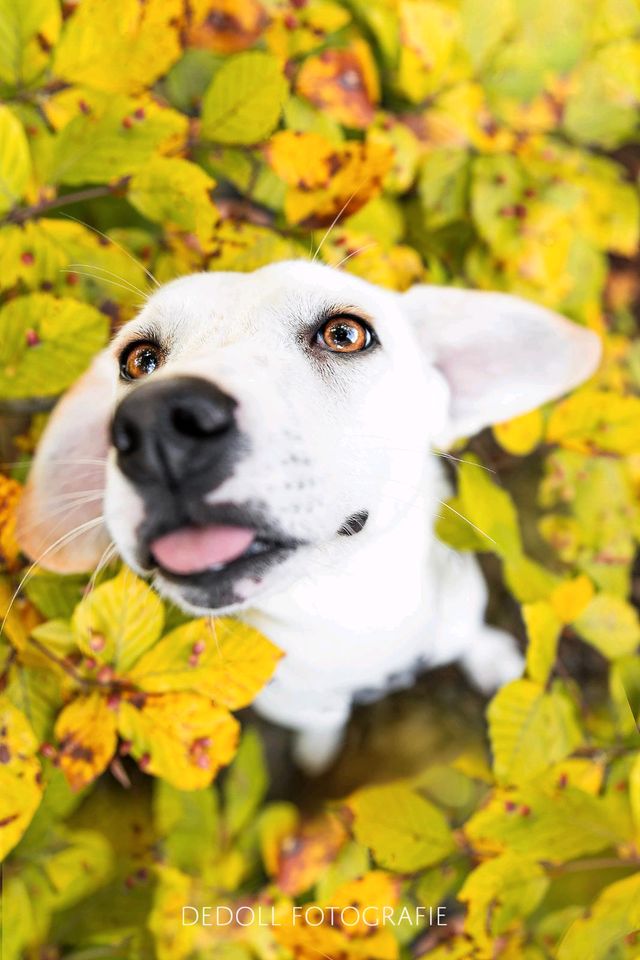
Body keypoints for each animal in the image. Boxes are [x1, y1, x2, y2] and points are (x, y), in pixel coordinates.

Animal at [16, 260, 600, 772]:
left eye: (345, 334)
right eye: (139, 361)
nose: (157, 423)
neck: (349, 614)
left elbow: (470, 636)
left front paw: (494, 658)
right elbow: (324, 721)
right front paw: (320, 746)